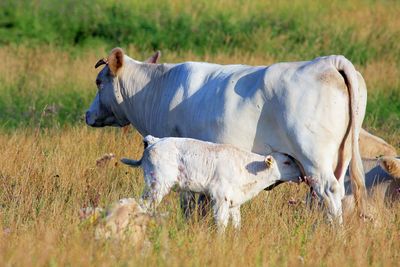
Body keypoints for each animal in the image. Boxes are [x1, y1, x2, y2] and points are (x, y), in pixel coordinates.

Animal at [86, 47, 368, 222]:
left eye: (99, 82)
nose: (87, 114)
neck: (157, 90)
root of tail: (328, 61)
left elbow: (189, 203)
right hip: (339, 159)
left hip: (314, 157)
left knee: (328, 192)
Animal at [120, 136, 302, 232]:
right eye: (286, 162)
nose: (301, 174)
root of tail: (154, 141)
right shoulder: (220, 197)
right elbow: (221, 223)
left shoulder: (234, 202)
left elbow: (236, 224)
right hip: (157, 186)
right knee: (143, 205)